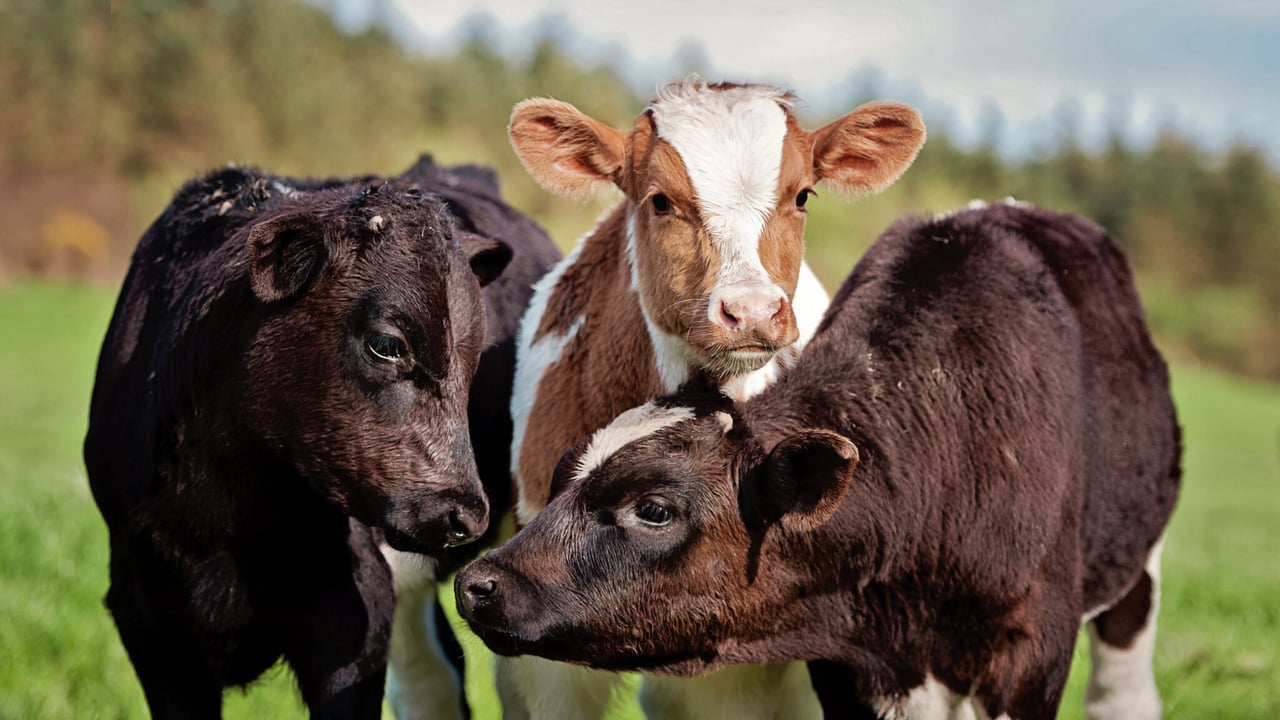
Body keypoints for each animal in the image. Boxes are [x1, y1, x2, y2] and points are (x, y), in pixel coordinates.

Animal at [457, 201, 1182, 720]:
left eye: (654, 508)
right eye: (558, 479)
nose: (477, 583)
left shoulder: (1030, 654)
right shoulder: (846, 663)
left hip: (1136, 568)